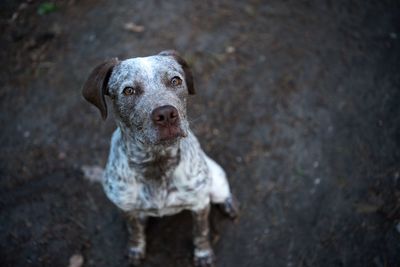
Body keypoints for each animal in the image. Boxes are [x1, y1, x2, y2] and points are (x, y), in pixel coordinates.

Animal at [81, 50, 238, 267]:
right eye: (128, 91)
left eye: (175, 80)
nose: (166, 114)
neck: (156, 162)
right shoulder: (127, 209)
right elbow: (135, 232)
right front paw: (135, 249)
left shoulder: (199, 204)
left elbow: (201, 232)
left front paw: (203, 254)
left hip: (214, 180)